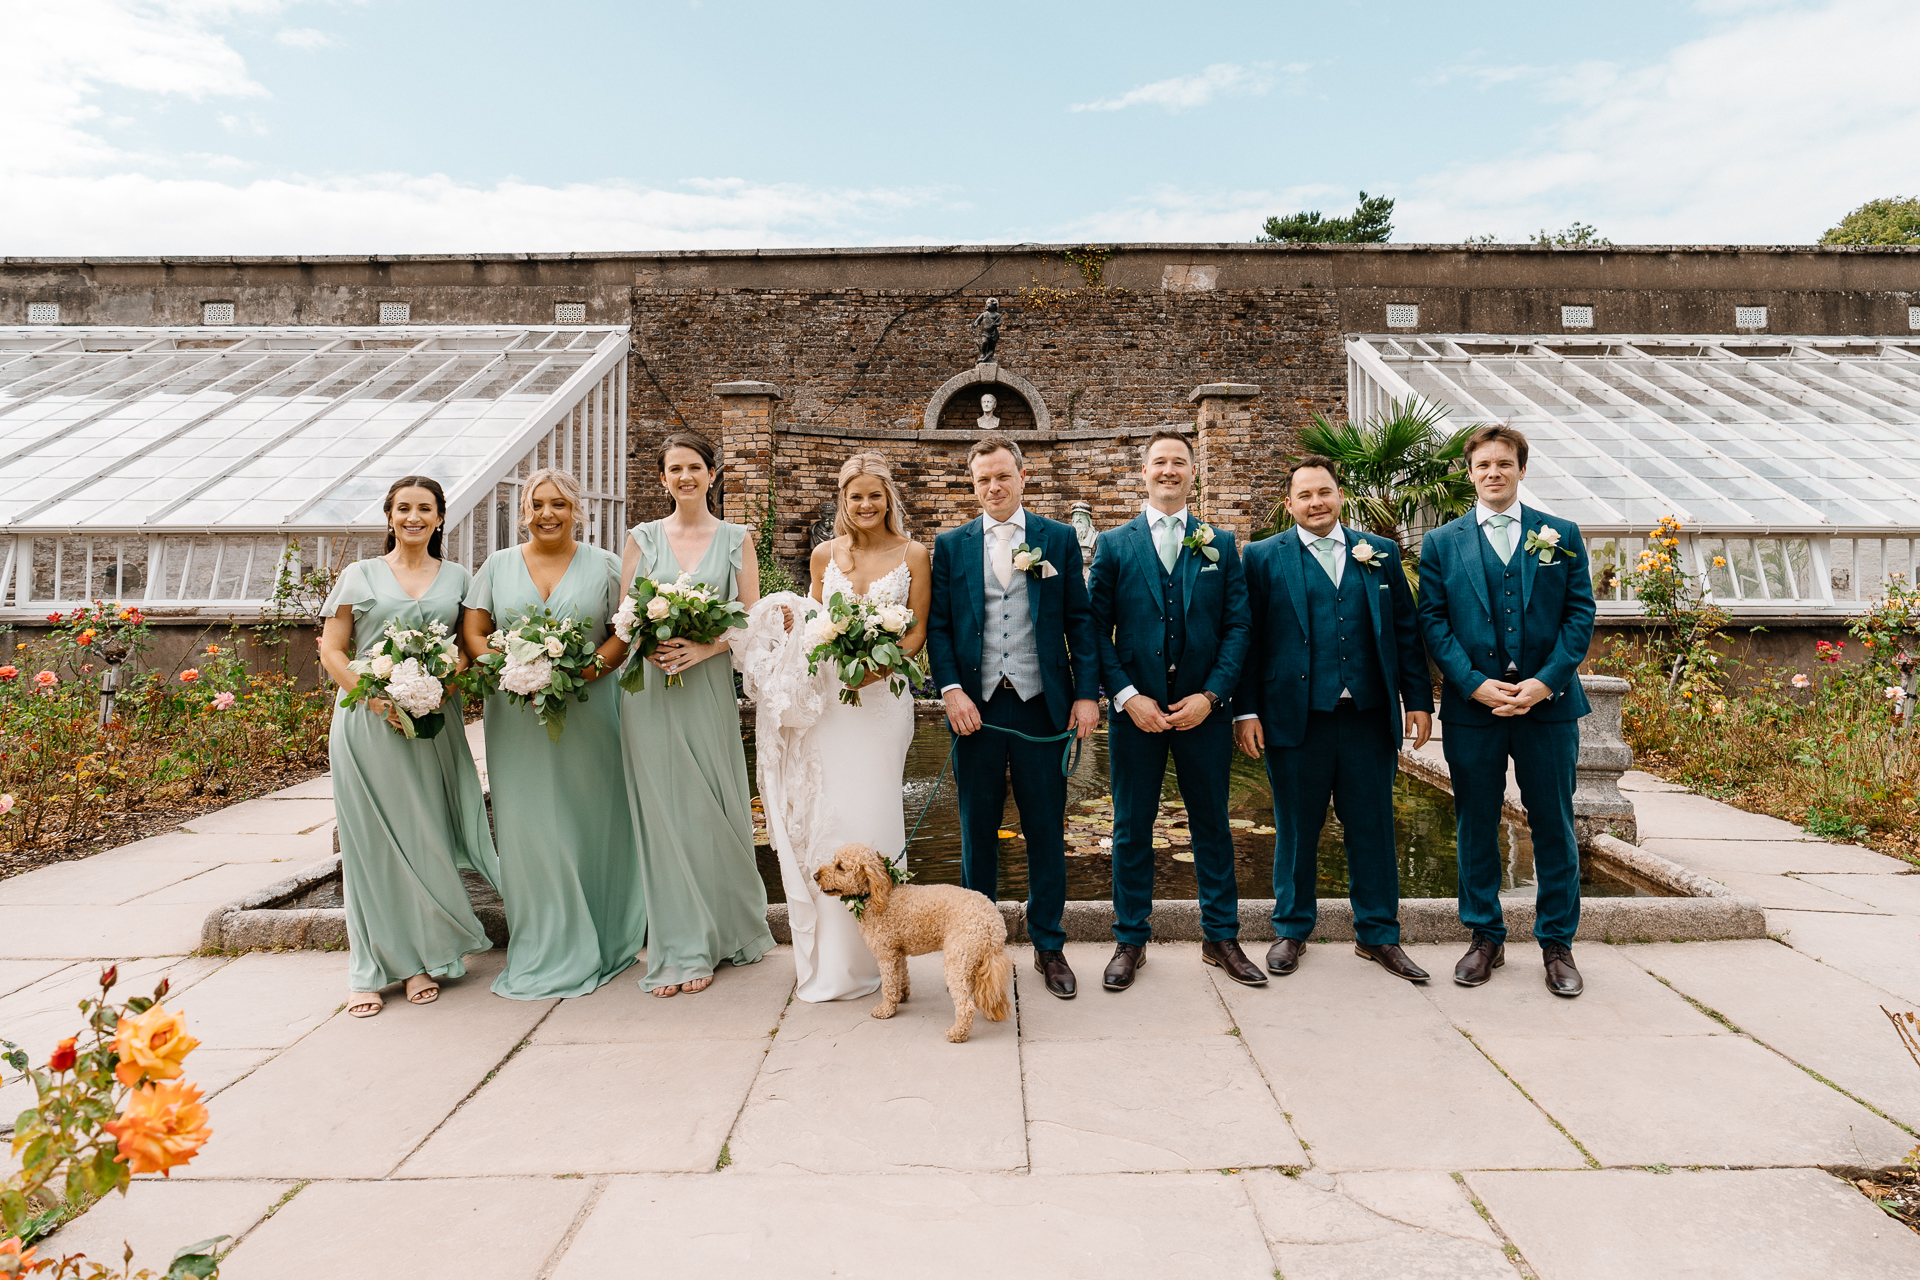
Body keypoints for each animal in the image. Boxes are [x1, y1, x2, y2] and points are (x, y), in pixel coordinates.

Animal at [814, 844, 1013, 1043]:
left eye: (840, 866)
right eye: (833, 861)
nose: (815, 876)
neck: (876, 894)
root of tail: (993, 922)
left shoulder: (886, 954)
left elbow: (888, 984)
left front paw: (886, 1009)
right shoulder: (897, 951)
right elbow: (901, 975)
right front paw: (901, 996)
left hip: (958, 958)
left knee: (966, 1005)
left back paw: (957, 1033)